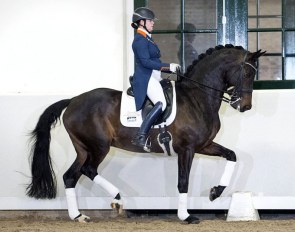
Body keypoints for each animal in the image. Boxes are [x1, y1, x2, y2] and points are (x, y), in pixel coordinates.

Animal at [26, 44, 266, 224]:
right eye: (247, 72)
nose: (245, 106)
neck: (197, 98)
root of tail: (73, 100)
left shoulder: (204, 145)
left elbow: (231, 155)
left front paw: (216, 192)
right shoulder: (186, 149)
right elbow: (183, 182)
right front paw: (186, 216)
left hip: (83, 148)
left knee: (70, 176)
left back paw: (79, 216)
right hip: (99, 146)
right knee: (88, 169)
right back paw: (118, 199)